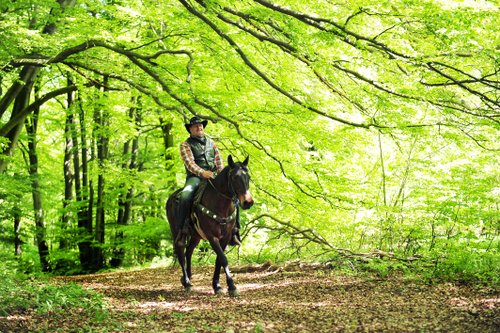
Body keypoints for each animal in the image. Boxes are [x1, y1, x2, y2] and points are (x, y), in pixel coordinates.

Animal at [167, 154, 254, 294]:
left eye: (248, 177)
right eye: (234, 177)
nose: (248, 202)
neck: (220, 204)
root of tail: (170, 198)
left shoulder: (226, 237)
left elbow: (219, 260)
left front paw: (217, 285)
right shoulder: (212, 236)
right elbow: (223, 258)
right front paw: (231, 286)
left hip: (196, 236)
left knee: (188, 251)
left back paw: (188, 277)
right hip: (176, 232)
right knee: (181, 251)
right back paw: (187, 282)